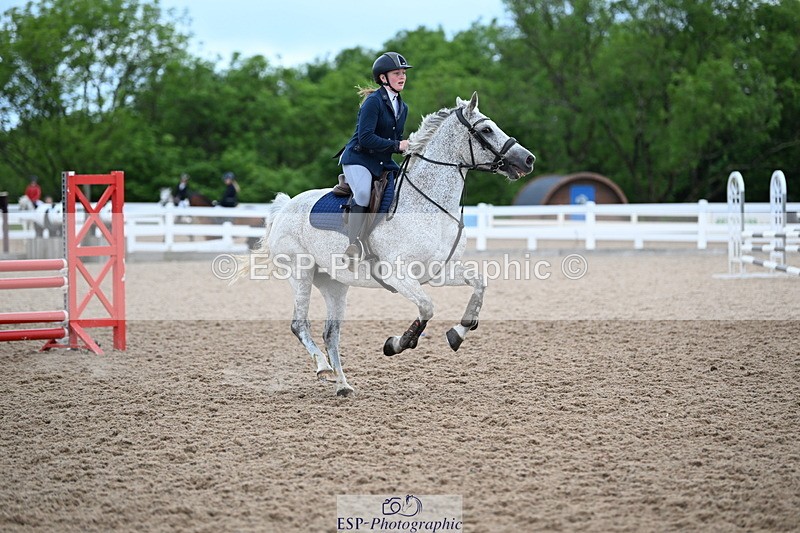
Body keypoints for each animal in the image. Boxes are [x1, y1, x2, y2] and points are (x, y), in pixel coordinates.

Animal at [241, 92, 535, 396]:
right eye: (486, 130)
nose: (528, 160)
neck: (429, 206)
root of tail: (286, 206)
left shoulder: (439, 271)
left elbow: (479, 284)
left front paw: (458, 332)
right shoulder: (398, 275)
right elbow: (427, 307)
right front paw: (397, 344)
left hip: (334, 283)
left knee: (330, 334)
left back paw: (343, 385)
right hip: (300, 273)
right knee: (300, 324)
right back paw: (323, 368)